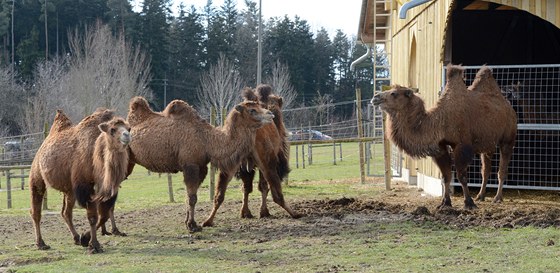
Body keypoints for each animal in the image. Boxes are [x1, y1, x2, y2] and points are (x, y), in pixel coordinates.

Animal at [29, 107, 132, 252]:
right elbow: (93, 217)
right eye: (112, 130)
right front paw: (94, 245)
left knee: (66, 212)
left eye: (129, 128)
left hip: (69, 190)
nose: (127, 136)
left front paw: (85, 238)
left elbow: (104, 214)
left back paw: (76, 238)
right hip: (37, 175)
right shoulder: (85, 187)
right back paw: (41, 243)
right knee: (36, 210)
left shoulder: (105, 189)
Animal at [127, 95, 276, 232]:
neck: (207, 141)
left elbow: (189, 196)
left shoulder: (201, 167)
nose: (270, 114)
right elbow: (192, 197)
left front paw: (188, 222)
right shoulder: (190, 165)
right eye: (252, 110)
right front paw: (193, 225)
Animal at [200, 84, 298, 225]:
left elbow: (248, 187)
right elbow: (262, 186)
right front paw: (263, 212)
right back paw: (294, 213)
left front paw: (246, 213)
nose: (271, 115)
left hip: (234, 163)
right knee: (274, 191)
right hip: (266, 162)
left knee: (220, 194)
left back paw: (207, 221)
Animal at [372, 64, 516, 208]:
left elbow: (461, 176)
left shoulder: (461, 146)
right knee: (486, 169)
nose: (375, 97)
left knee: (502, 169)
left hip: (508, 138)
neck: (441, 121)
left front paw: (469, 203)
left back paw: (497, 198)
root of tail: (509, 106)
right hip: (487, 144)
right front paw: (445, 203)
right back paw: (480, 196)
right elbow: (445, 176)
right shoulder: (440, 147)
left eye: (394, 93)